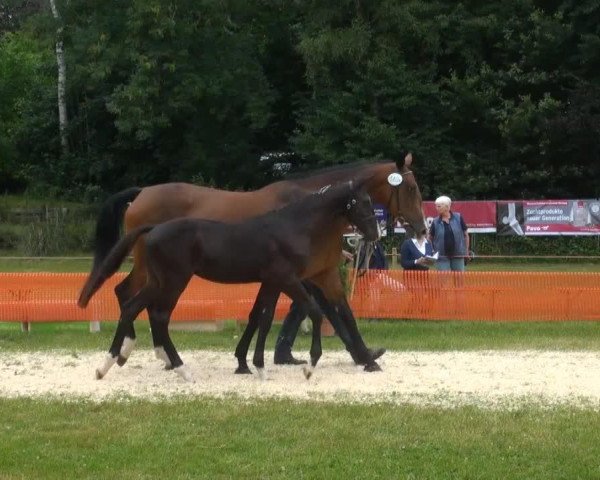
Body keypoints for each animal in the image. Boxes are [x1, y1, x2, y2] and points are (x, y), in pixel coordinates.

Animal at [79, 152, 426, 370]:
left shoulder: (298, 274)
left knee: (133, 297)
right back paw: (141, 353)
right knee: (129, 295)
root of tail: (142, 193)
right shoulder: (299, 275)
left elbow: (282, 311)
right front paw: (362, 355)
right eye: (410, 188)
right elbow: (323, 310)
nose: (422, 227)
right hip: (153, 268)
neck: (306, 206)